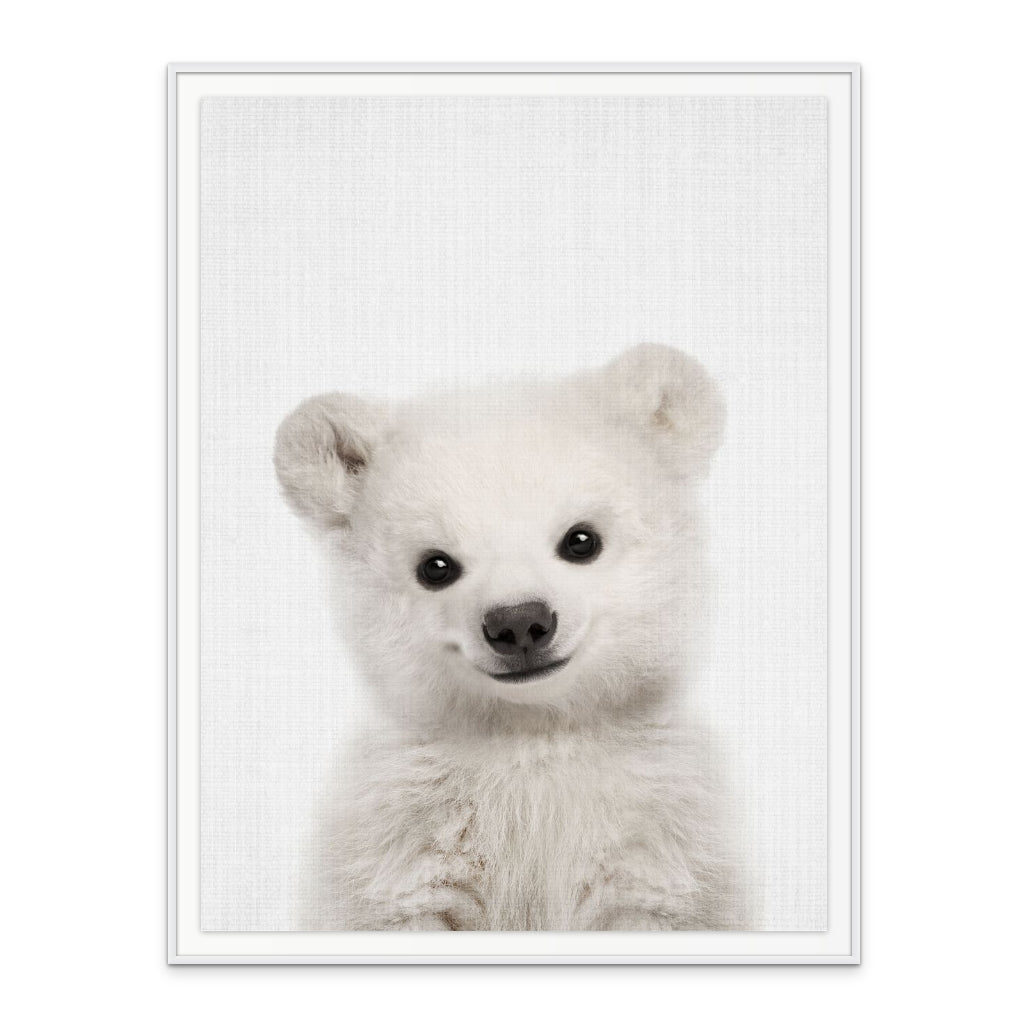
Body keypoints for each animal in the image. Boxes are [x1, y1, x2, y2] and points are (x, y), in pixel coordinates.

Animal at [274, 343, 742, 931]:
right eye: (435, 566)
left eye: (582, 539)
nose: (519, 622)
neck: (530, 737)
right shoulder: (403, 841)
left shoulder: (656, 839)